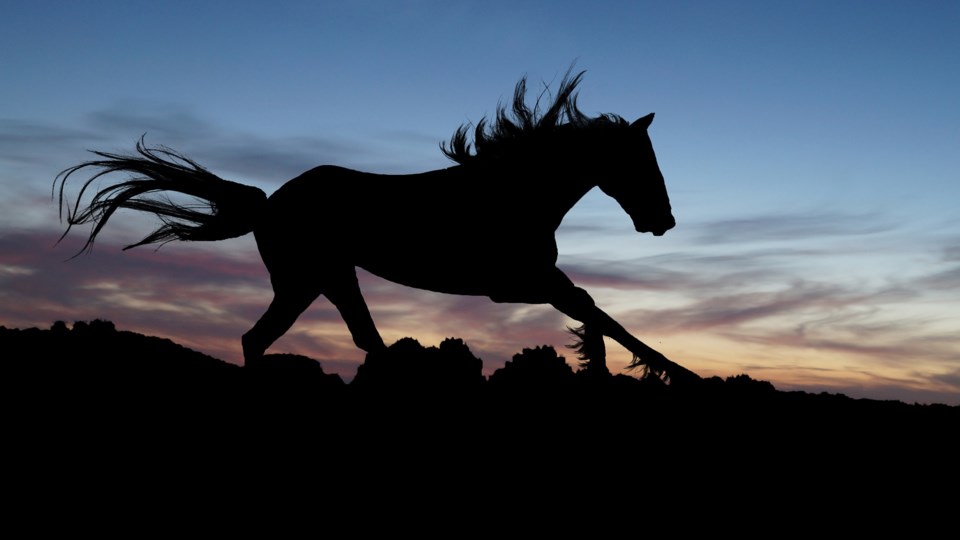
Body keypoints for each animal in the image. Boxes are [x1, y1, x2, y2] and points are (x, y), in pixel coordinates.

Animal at [54, 70, 696, 384]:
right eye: (642, 161)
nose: (663, 222)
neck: (511, 194)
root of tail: (270, 204)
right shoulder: (515, 283)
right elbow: (595, 308)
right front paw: (669, 371)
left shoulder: (528, 283)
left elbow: (594, 312)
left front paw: (607, 364)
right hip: (310, 279)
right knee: (276, 341)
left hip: (324, 280)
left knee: (339, 341)